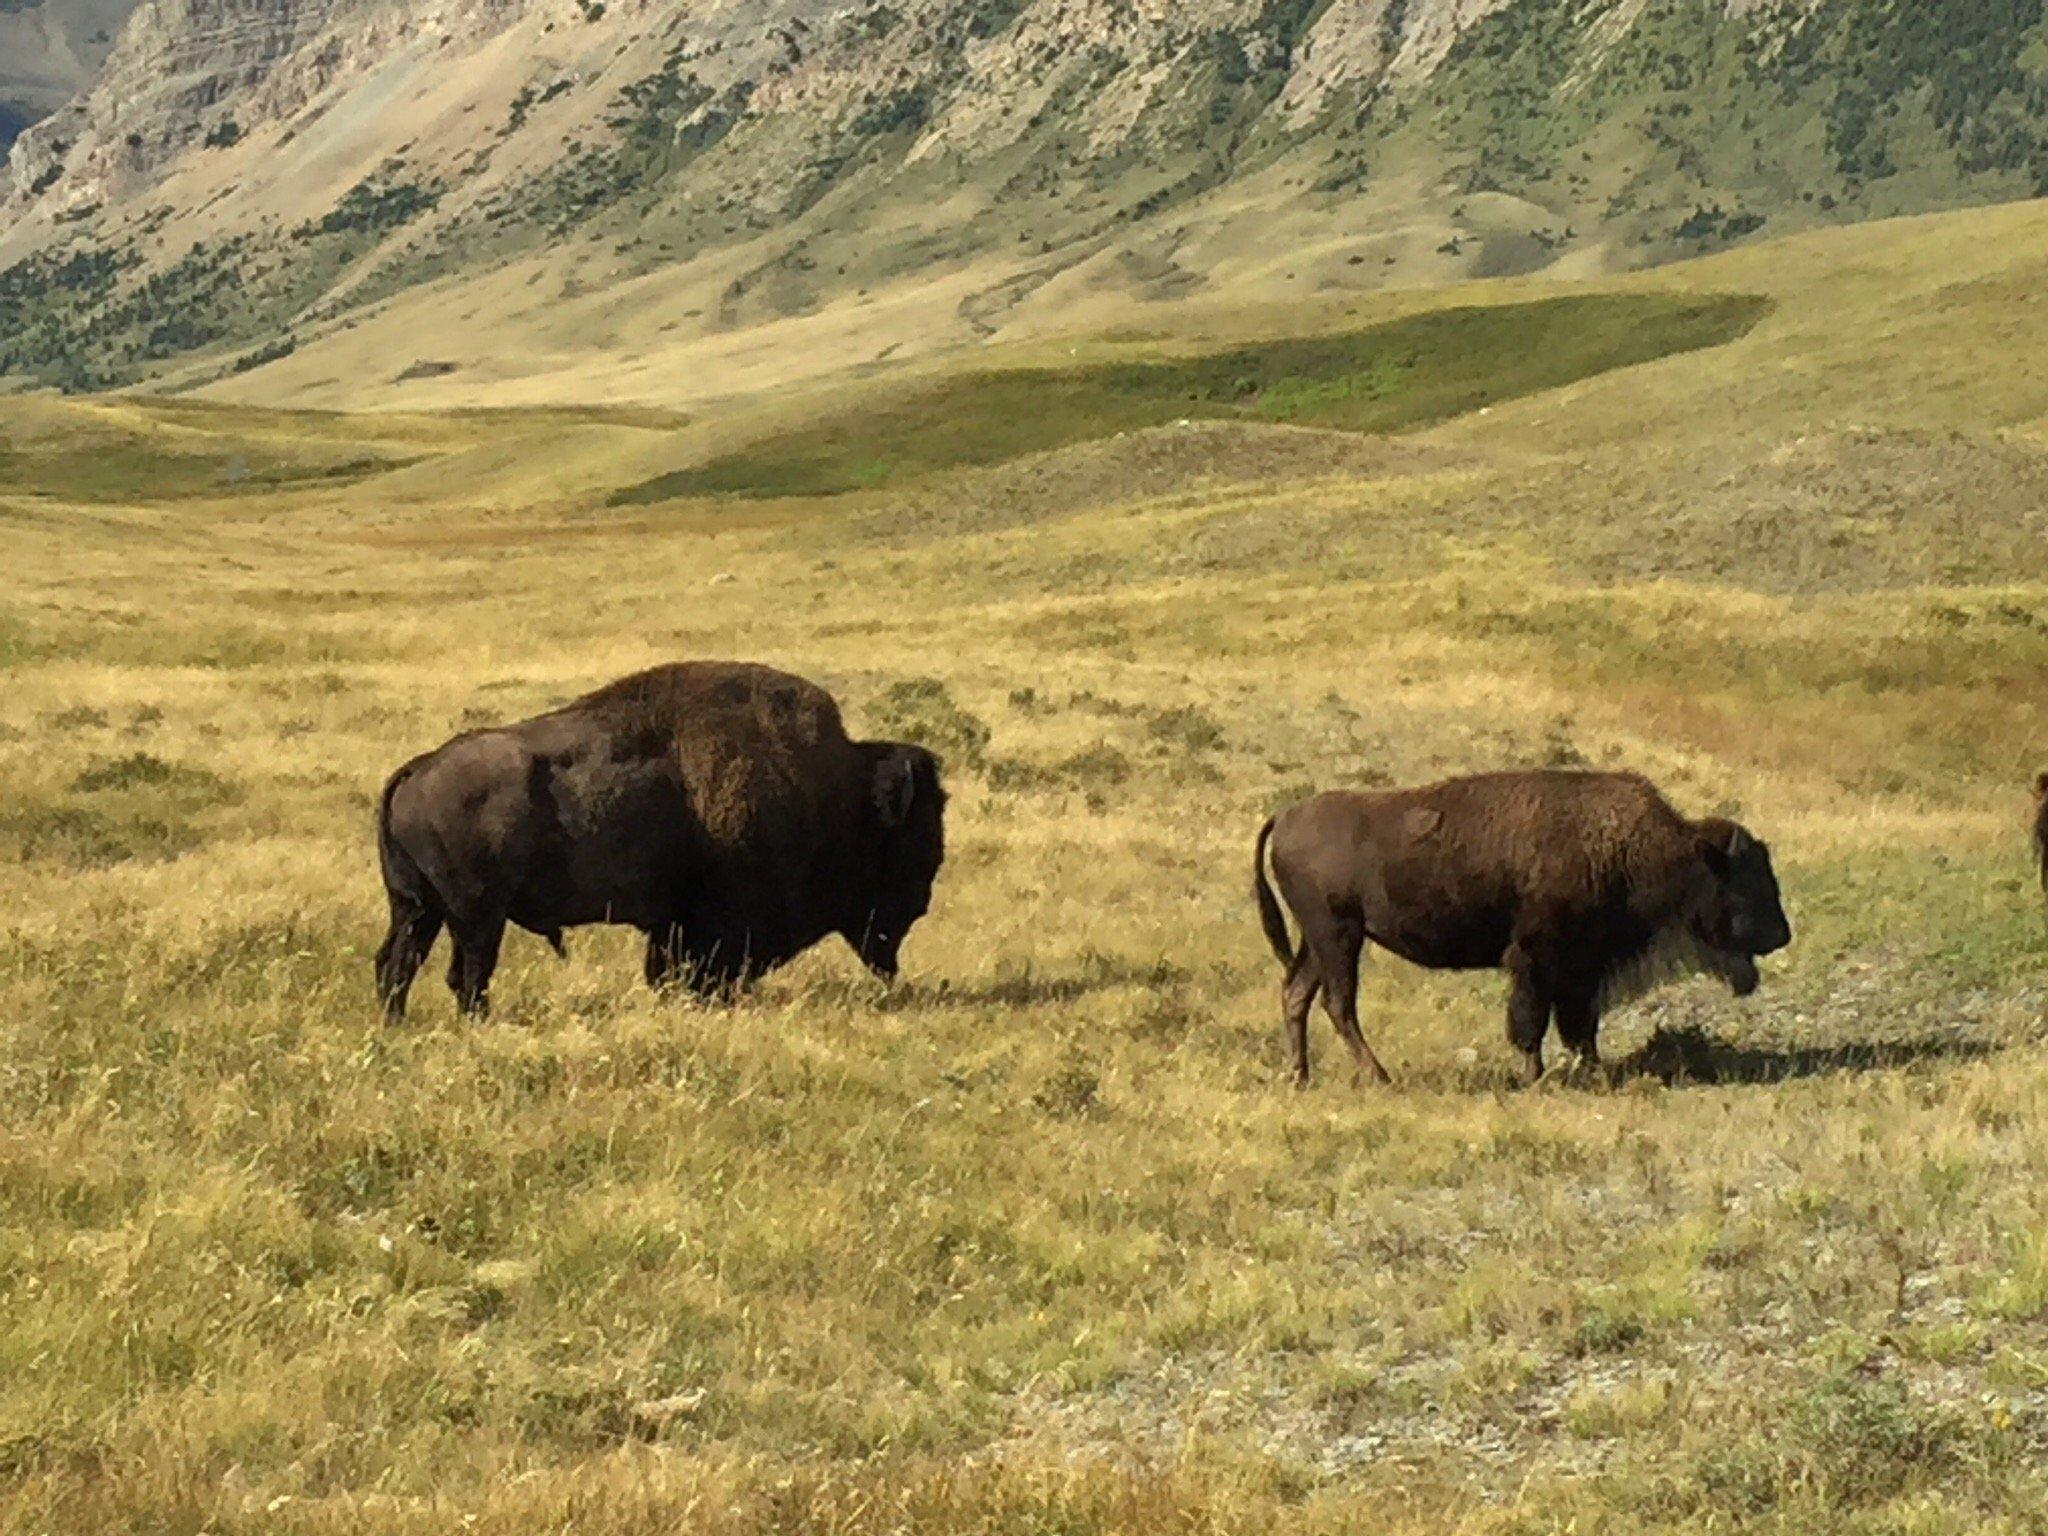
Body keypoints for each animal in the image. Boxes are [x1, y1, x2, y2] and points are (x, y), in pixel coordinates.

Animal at [374, 662, 946, 1018]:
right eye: (912, 838)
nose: (922, 901)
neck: (837, 789)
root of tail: (416, 769)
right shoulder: (709, 925)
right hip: (474, 916)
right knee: (466, 974)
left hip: (418, 907)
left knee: (396, 964)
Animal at [1252, 770, 1791, 1087]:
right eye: (1743, 879)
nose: (1781, 934)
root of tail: (1286, 815)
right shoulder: (1539, 960)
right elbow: (1532, 1022)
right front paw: (1535, 1077)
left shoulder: (1581, 970)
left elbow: (1580, 1026)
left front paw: (1593, 1072)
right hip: (1338, 936)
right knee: (1338, 1003)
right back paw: (1379, 1077)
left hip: (1320, 940)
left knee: (1297, 993)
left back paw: (1300, 1076)